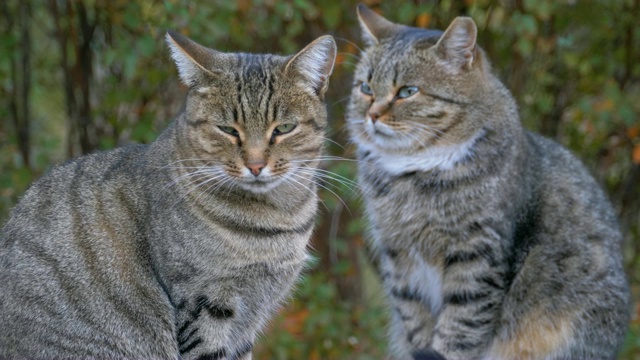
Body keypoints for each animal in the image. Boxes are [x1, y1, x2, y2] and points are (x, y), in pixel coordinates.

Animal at [0, 31, 338, 360]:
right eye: (228, 129)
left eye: (284, 128)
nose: (255, 165)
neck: (276, 218)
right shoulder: (203, 301)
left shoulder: (249, 318)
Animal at [348, 4, 628, 360]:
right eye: (366, 88)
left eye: (408, 91)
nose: (371, 115)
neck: (411, 173)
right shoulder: (399, 256)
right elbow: (415, 319)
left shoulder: (478, 254)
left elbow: (461, 325)